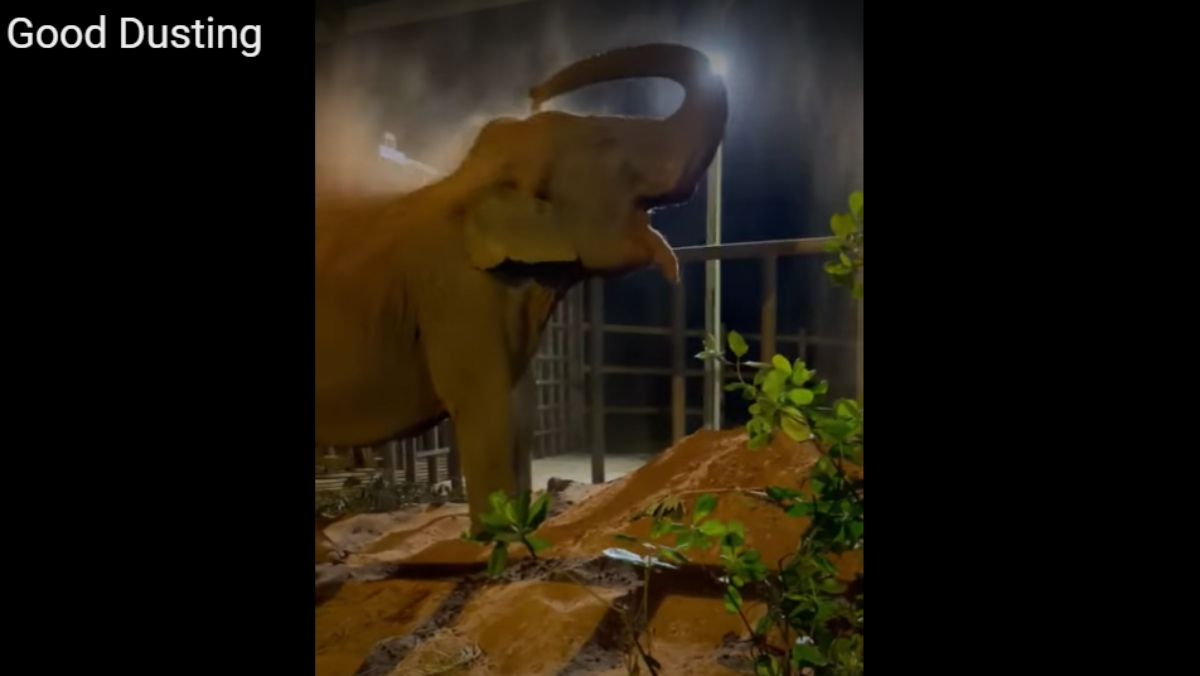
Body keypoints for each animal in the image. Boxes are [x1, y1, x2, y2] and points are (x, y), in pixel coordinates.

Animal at [315, 43, 728, 531]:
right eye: (607, 147)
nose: (535, 92)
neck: (470, 180)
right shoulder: (455, 291)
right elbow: (484, 402)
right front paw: (498, 539)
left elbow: (518, 407)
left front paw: (525, 527)